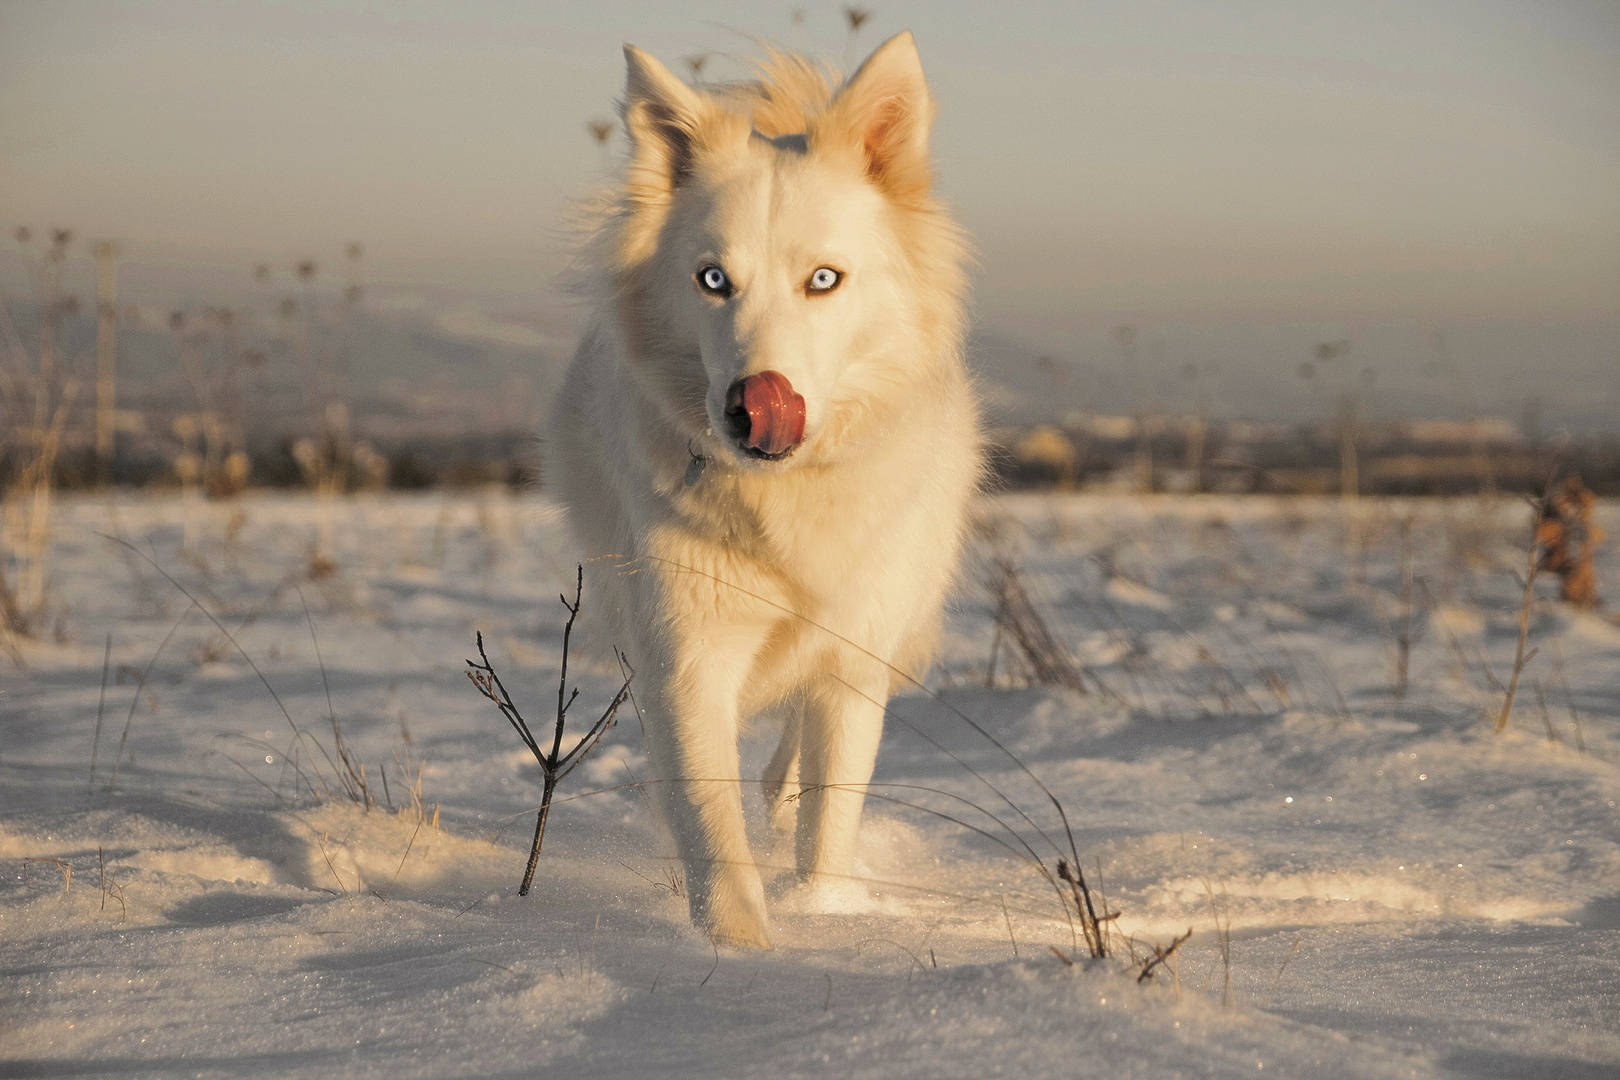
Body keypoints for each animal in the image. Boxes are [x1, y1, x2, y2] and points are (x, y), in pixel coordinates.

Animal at [550, 33, 978, 945]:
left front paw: (823, 912)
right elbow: (711, 826)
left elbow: (829, 815)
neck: (784, 501)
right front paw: (740, 950)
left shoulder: (855, 660)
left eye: (824, 279)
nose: (755, 404)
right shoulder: (685, 658)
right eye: (713, 280)